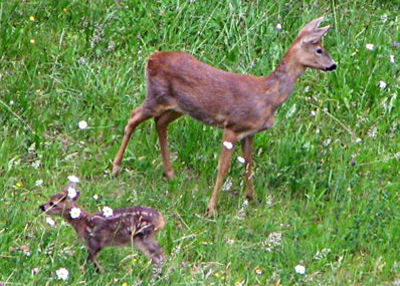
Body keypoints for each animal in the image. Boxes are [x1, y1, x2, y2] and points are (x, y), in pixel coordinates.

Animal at [112, 16, 338, 216]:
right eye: (319, 49)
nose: (333, 65)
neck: (268, 97)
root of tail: (151, 58)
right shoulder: (233, 127)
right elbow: (223, 168)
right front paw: (211, 208)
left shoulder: (250, 132)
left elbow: (249, 164)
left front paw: (251, 198)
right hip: (156, 96)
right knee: (133, 117)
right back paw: (115, 168)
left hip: (177, 107)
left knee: (159, 123)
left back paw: (170, 174)